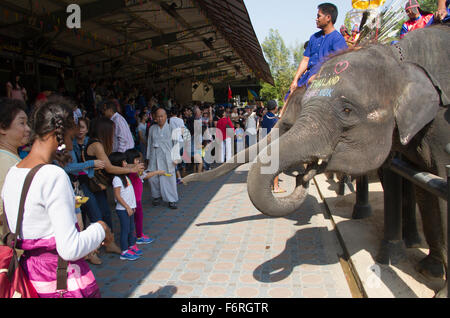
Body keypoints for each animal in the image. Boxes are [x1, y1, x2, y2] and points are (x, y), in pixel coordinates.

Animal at [246, 24, 450, 298]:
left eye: (346, 111)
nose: (302, 176)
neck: (399, 57)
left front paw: (440, 290)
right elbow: (425, 189)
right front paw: (429, 270)